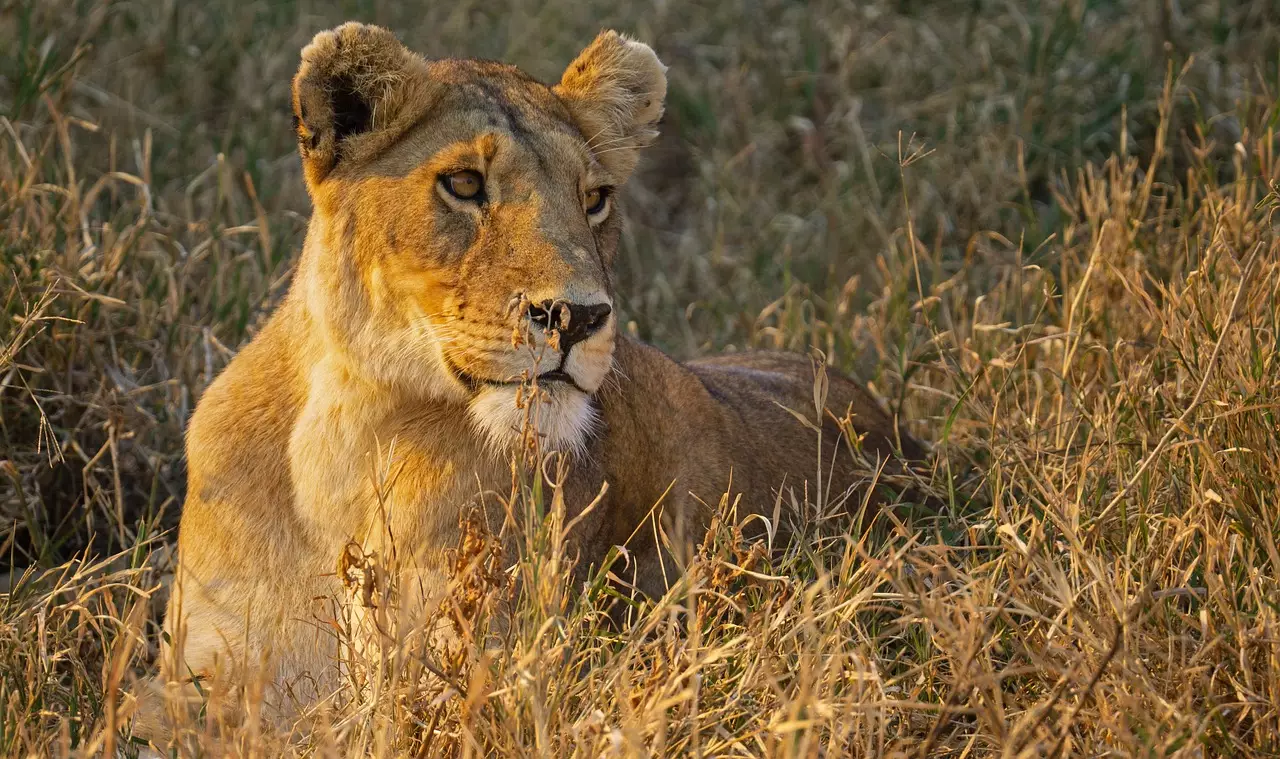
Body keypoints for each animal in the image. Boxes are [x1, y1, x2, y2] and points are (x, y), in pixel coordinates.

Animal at [131, 22, 927, 749]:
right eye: (463, 184)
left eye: (596, 197)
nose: (577, 316)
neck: (344, 430)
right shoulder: (198, 682)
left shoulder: (470, 684)